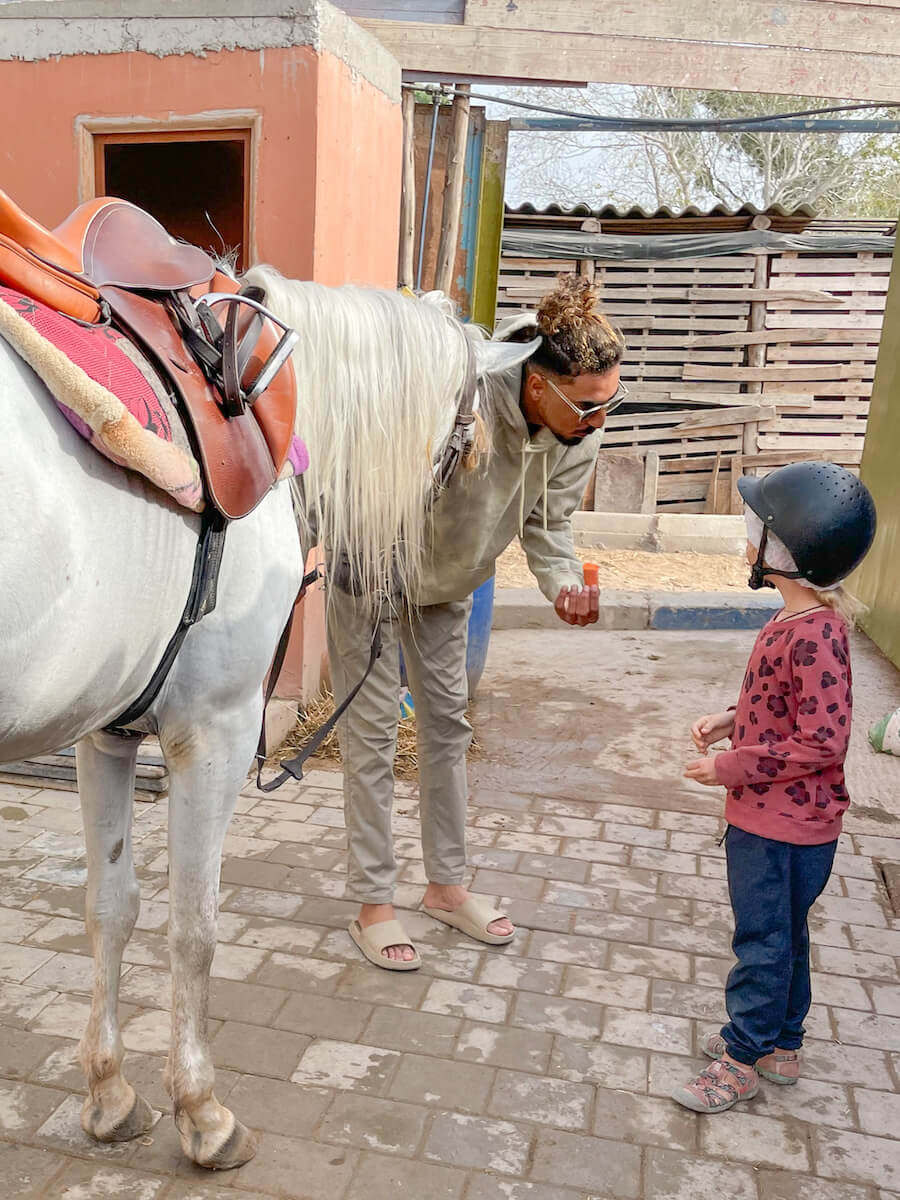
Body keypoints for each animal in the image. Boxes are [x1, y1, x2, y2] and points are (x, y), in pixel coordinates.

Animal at [0, 276, 532, 1169]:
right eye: (463, 441)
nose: (419, 584)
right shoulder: (213, 730)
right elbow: (194, 928)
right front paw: (202, 1111)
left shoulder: (104, 734)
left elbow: (111, 906)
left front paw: (110, 1094)